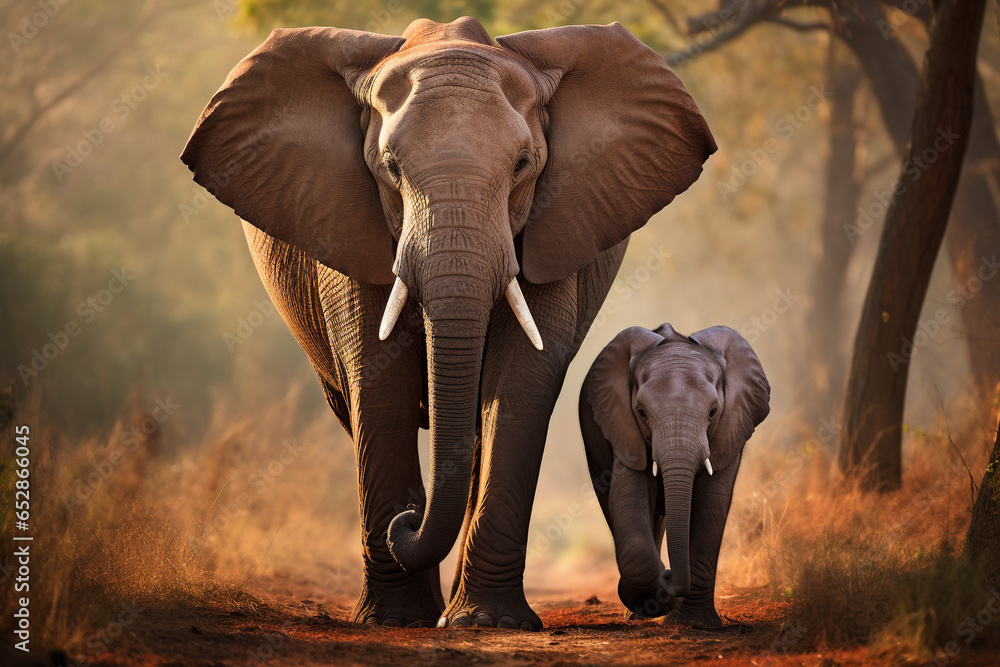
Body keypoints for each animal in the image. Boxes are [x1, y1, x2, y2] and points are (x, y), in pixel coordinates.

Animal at [181, 17, 715, 630]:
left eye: (523, 165)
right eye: (390, 168)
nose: (406, 523)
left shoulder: (555, 222)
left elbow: (522, 381)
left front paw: (489, 622)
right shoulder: (346, 223)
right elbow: (377, 377)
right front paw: (394, 619)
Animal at [579, 323, 769, 627]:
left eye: (713, 412)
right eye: (642, 413)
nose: (668, 575)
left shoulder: (730, 430)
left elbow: (712, 505)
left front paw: (697, 624)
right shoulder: (623, 429)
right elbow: (627, 498)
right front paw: (661, 602)